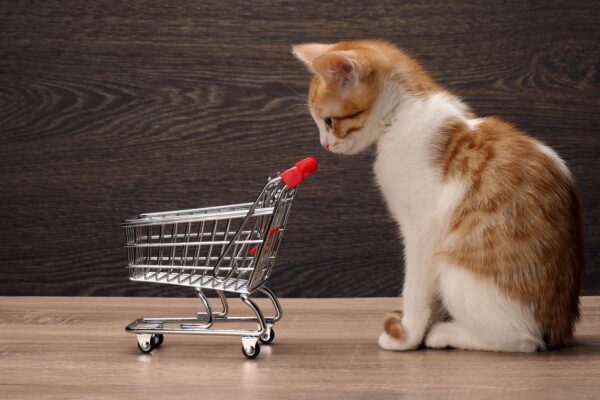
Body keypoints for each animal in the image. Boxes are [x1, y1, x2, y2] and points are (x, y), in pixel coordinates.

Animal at [292, 39, 584, 352]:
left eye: (329, 121)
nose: (324, 145)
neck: (404, 113)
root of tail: (559, 326)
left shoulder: (422, 230)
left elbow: (415, 287)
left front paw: (409, 333)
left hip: (456, 271)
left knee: (522, 340)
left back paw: (446, 333)